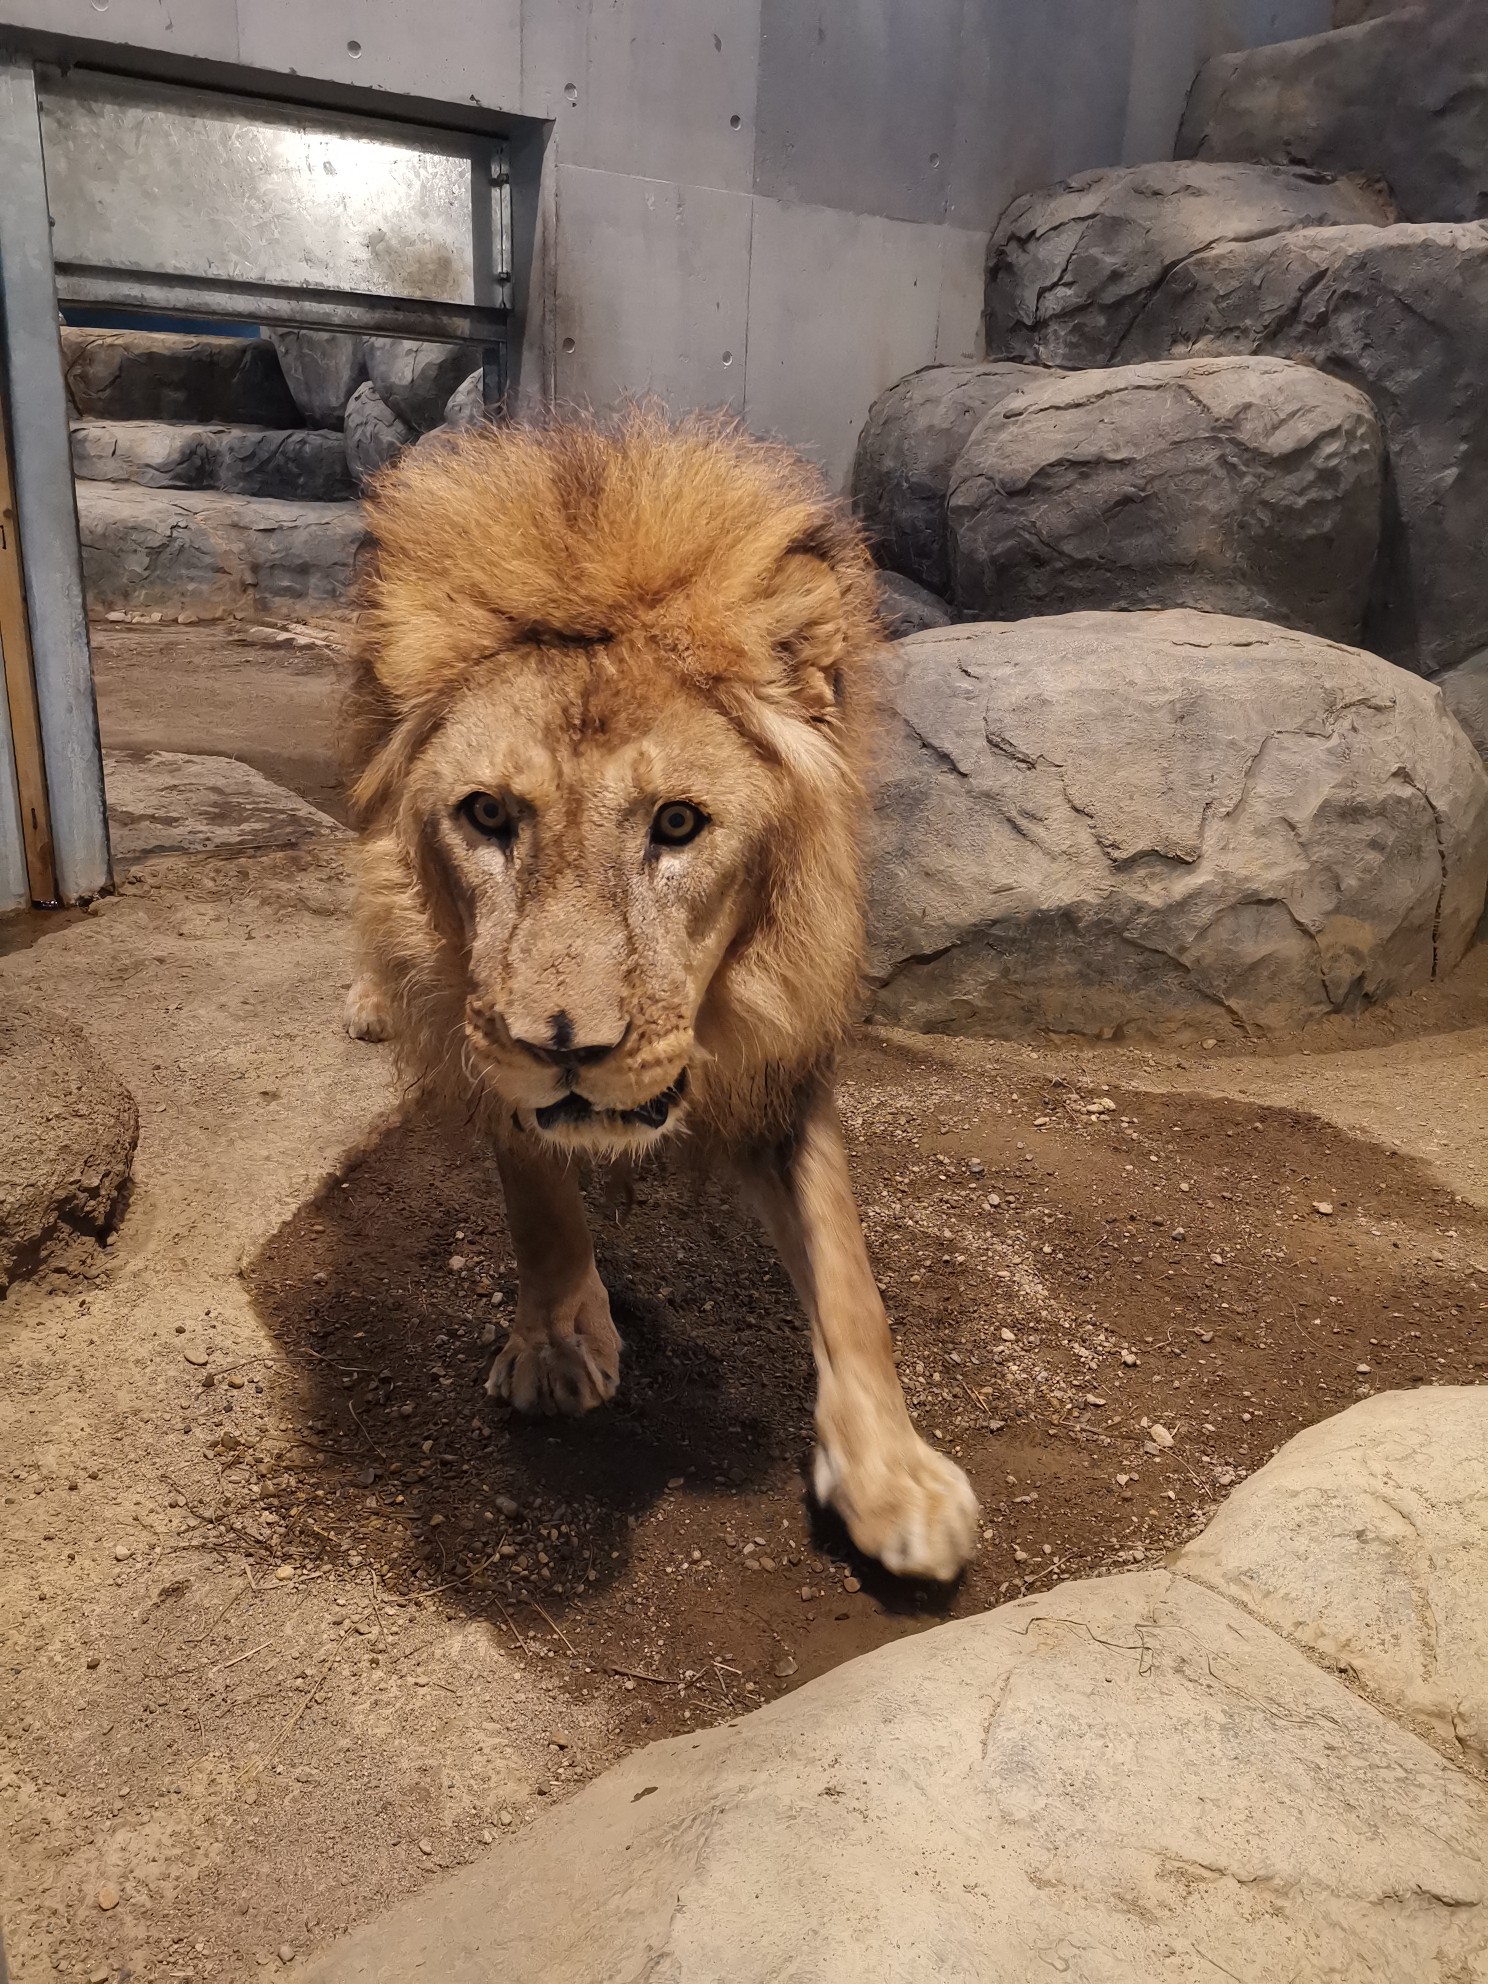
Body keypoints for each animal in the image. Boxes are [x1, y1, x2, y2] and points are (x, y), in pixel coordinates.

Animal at [343, 406, 984, 1579]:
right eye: (488, 815)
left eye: (678, 823)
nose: (567, 1046)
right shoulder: (479, 1032)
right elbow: (535, 1188)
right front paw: (557, 1342)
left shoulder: (782, 1065)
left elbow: (848, 1272)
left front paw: (894, 1475)